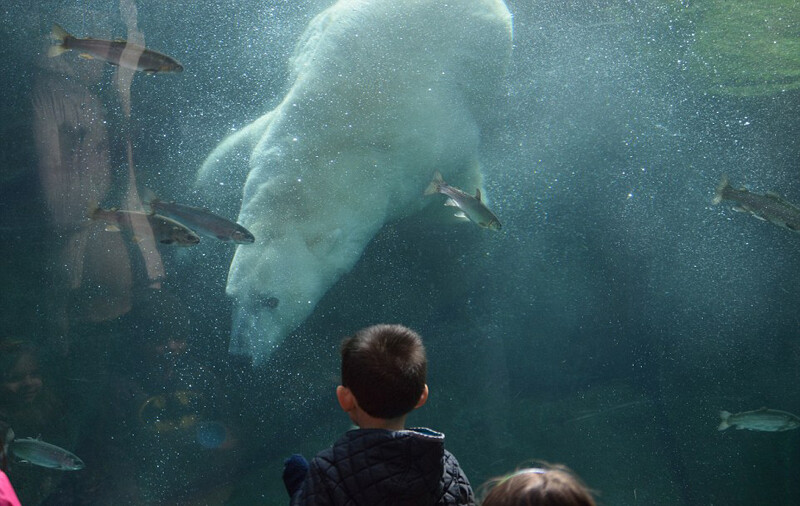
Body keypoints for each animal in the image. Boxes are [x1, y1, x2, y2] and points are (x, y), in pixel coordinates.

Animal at [197, 0, 516, 364]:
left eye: (271, 300)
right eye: (231, 297)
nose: (239, 353)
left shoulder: (428, 142)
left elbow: (455, 175)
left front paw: (464, 217)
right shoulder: (275, 131)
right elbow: (224, 158)